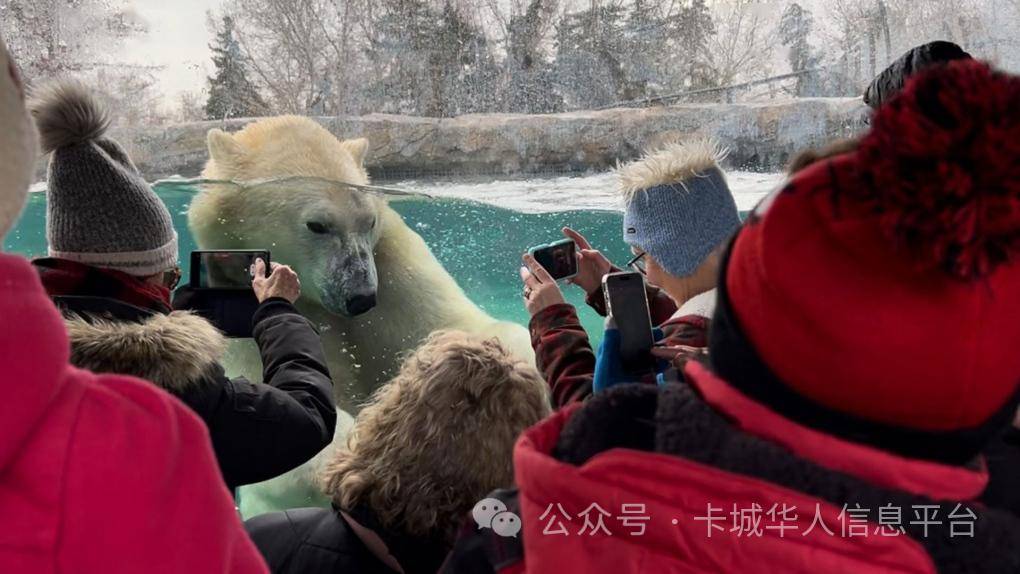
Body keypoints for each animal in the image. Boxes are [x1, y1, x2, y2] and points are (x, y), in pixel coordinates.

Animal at [187, 116, 534, 515]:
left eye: (368, 221)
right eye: (317, 224)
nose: (361, 296)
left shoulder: (393, 265)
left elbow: (453, 325)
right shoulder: (234, 301)